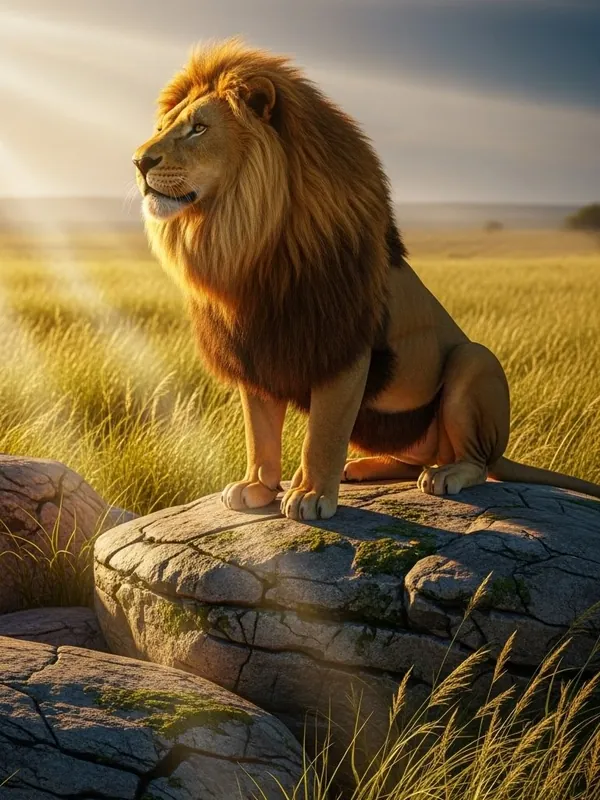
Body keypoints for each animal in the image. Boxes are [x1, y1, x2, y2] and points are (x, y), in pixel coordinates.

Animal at [133, 39, 600, 520]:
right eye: (163, 127)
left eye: (198, 129)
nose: (139, 161)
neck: (247, 243)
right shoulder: (257, 351)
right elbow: (258, 431)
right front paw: (257, 487)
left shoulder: (341, 347)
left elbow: (324, 432)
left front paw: (311, 496)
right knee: (413, 458)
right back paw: (360, 468)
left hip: (475, 360)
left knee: (476, 460)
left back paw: (444, 475)